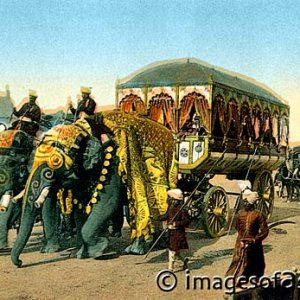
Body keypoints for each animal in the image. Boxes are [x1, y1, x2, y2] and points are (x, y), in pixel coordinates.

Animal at [10, 110, 177, 268]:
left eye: (49, 171)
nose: (20, 262)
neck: (85, 130)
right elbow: (81, 208)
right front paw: (80, 254)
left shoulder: (113, 165)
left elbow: (106, 204)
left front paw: (99, 249)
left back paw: (135, 250)